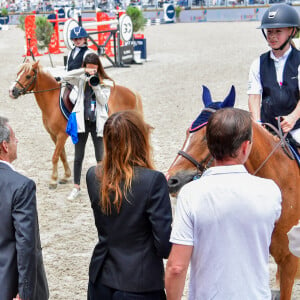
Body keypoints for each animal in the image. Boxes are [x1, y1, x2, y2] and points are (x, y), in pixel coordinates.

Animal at [8, 59, 144, 189]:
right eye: (18, 73)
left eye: (28, 76)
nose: (12, 91)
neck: (52, 102)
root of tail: (131, 92)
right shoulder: (53, 135)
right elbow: (62, 155)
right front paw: (66, 176)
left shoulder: (61, 135)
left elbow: (55, 156)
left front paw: (53, 181)